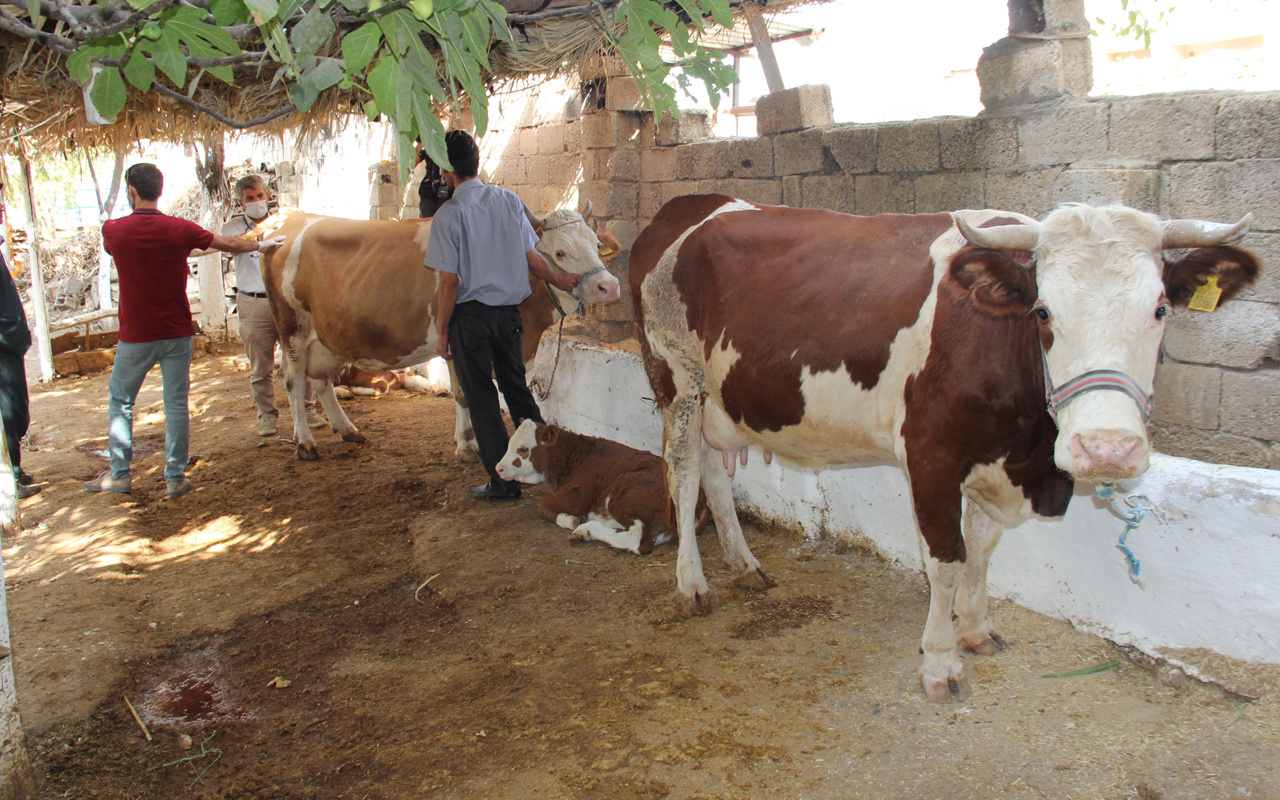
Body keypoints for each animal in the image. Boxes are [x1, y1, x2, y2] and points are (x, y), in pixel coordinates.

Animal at [258, 206, 619, 458]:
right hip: (292, 327)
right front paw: (469, 445)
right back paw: (305, 443)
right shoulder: (460, 345)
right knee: (293, 382)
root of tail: (289, 219)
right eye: (560, 252)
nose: (609, 286)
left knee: (319, 380)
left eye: (595, 243)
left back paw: (347, 429)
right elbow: (466, 395)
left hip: (326, 338)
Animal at [494, 417, 711, 555]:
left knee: (638, 539)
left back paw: (586, 529)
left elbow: (543, 505)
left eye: (523, 449)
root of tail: (701, 500)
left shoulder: (577, 496)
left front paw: (569, 519)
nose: (498, 468)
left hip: (623, 495)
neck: (574, 457)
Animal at [629, 193, 1259, 696]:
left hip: (718, 400)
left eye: (1160, 309)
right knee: (685, 474)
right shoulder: (931, 456)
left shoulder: (993, 461)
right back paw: (692, 583)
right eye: (1043, 312)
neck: (1028, 450)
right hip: (676, 382)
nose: (1106, 449)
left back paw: (744, 563)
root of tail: (690, 208)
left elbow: (982, 550)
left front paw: (976, 630)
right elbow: (947, 559)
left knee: (715, 473)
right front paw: (940, 662)